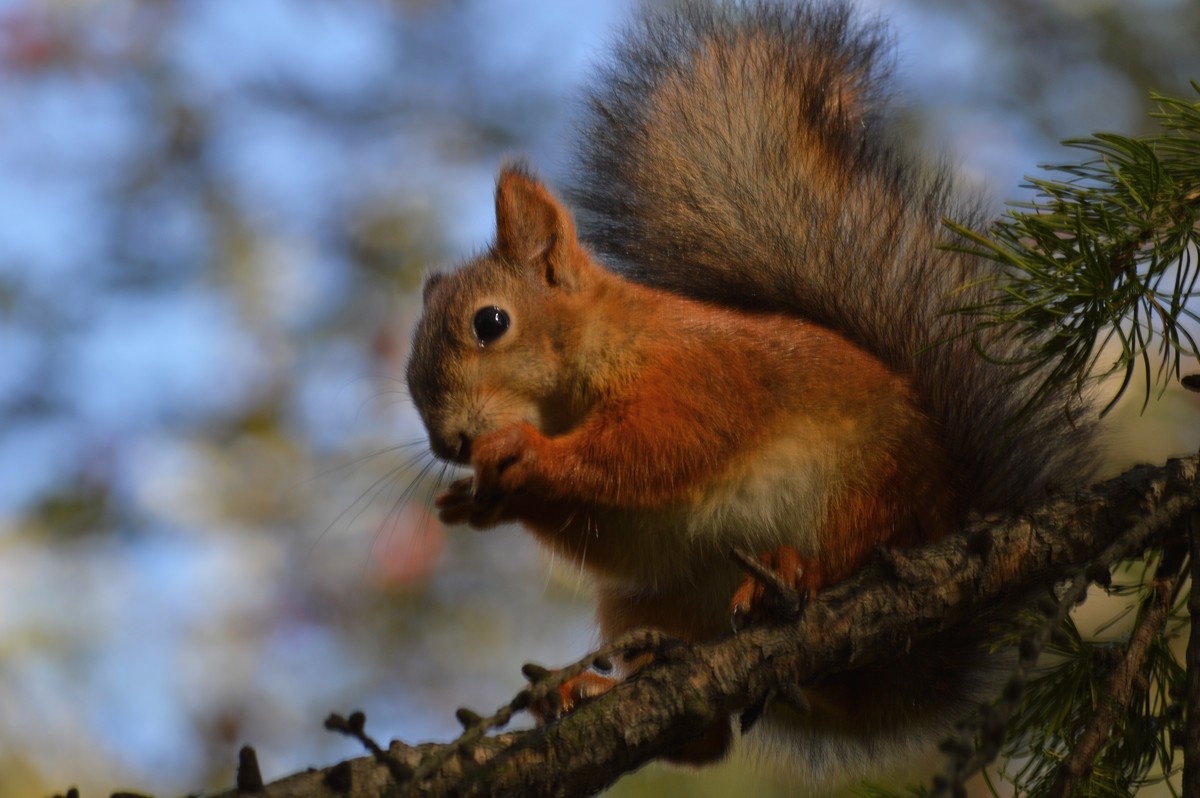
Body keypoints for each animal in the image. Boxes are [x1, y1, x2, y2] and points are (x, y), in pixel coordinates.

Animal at [403, 0, 1099, 782]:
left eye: (490, 322)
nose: (450, 443)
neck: (585, 374)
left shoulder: (700, 377)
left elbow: (653, 449)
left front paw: (523, 457)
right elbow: (607, 525)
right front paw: (475, 500)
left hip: (861, 491)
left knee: (853, 555)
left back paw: (788, 576)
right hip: (647, 605)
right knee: (704, 737)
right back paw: (593, 690)